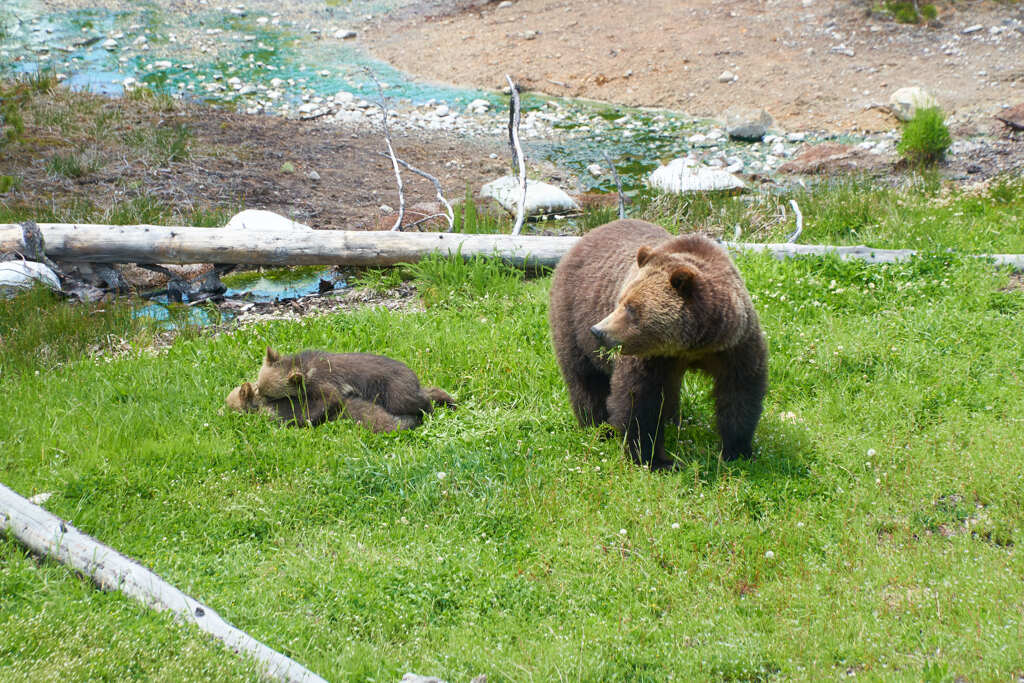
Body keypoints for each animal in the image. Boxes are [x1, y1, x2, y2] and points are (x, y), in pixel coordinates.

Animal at [252, 348, 456, 432]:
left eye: (269, 394)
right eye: (260, 387)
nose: (256, 401)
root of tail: (412, 375)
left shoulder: (325, 385)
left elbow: (328, 401)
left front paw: (306, 420)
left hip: (394, 392)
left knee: (417, 401)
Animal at [552, 219, 761, 471]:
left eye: (631, 308)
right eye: (620, 301)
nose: (599, 331)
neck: (690, 345)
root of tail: (585, 237)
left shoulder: (733, 346)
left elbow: (740, 391)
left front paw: (737, 450)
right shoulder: (648, 356)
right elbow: (639, 399)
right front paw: (655, 459)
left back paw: (672, 420)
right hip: (573, 317)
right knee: (586, 378)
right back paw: (599, 427)